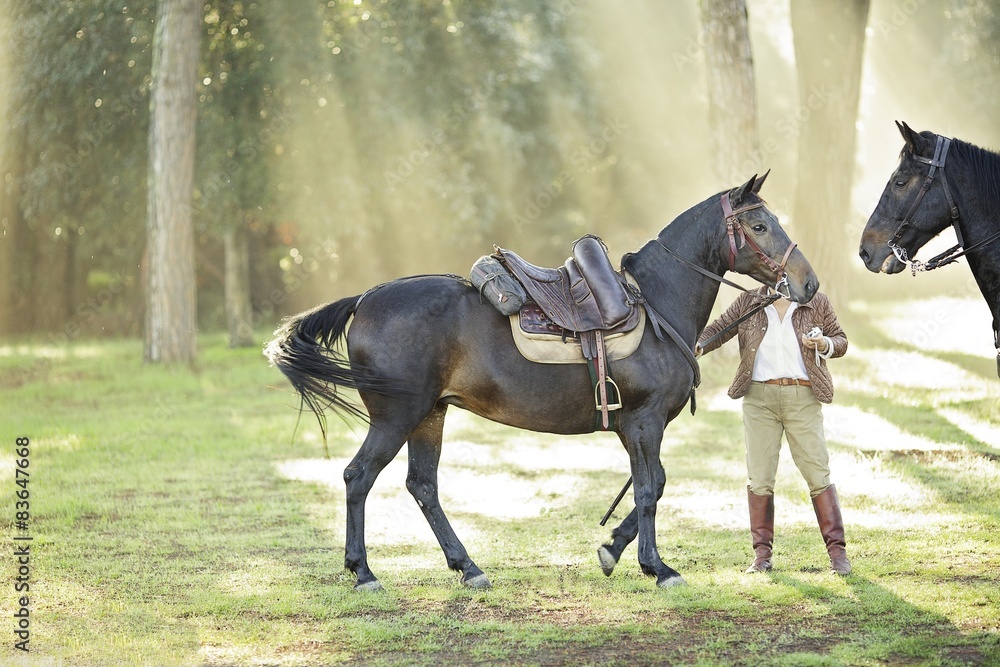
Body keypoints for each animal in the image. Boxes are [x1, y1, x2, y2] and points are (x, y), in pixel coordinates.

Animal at [265, 173, 819, 591]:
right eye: (759, 224)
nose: (808, 283)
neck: (655, 305)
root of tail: (365, 300)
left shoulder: (634, 428)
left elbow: (652, 487)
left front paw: (612, 551)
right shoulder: (644, 423)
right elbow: (649, 490)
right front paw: (656, 567)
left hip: (430, 416)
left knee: (422, 485)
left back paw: (467, 567)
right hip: (397, 416)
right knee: (358, 477)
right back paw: (364, 573)